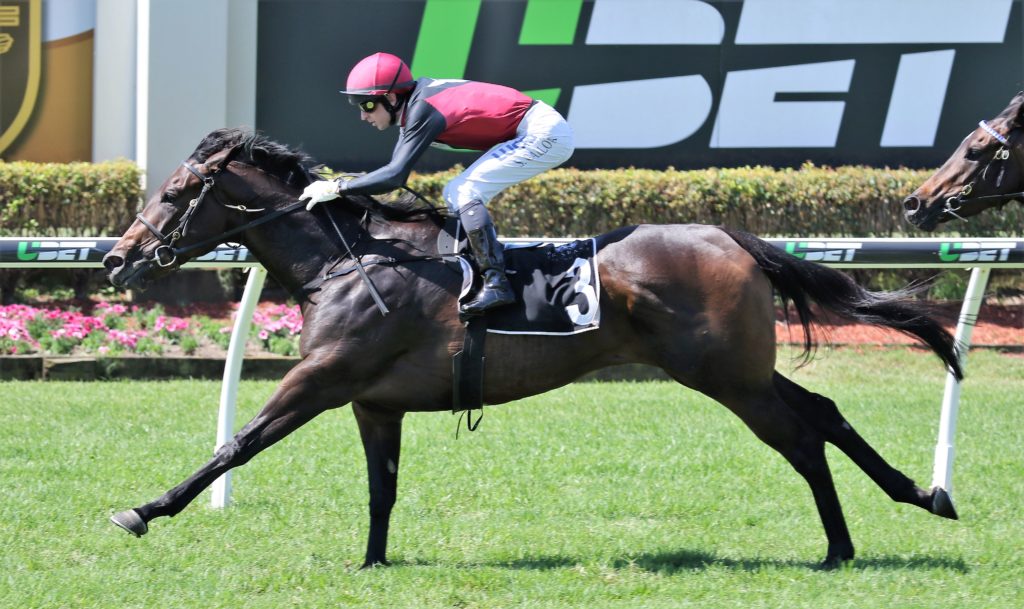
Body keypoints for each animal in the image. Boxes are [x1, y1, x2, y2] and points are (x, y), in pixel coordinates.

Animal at [104, 128, 963, 569]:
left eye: (175, 193)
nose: (117, 258)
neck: (346, 259)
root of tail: (732, 235)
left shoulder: (322, 378)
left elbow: (236, 444)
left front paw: (142, 509)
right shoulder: (374, 400)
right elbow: (382, 488)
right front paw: (374, 562)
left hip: (727, 376)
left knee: (803, 436)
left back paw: (845, 543)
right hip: (740, 369)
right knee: (823, 411)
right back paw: (917, 498)